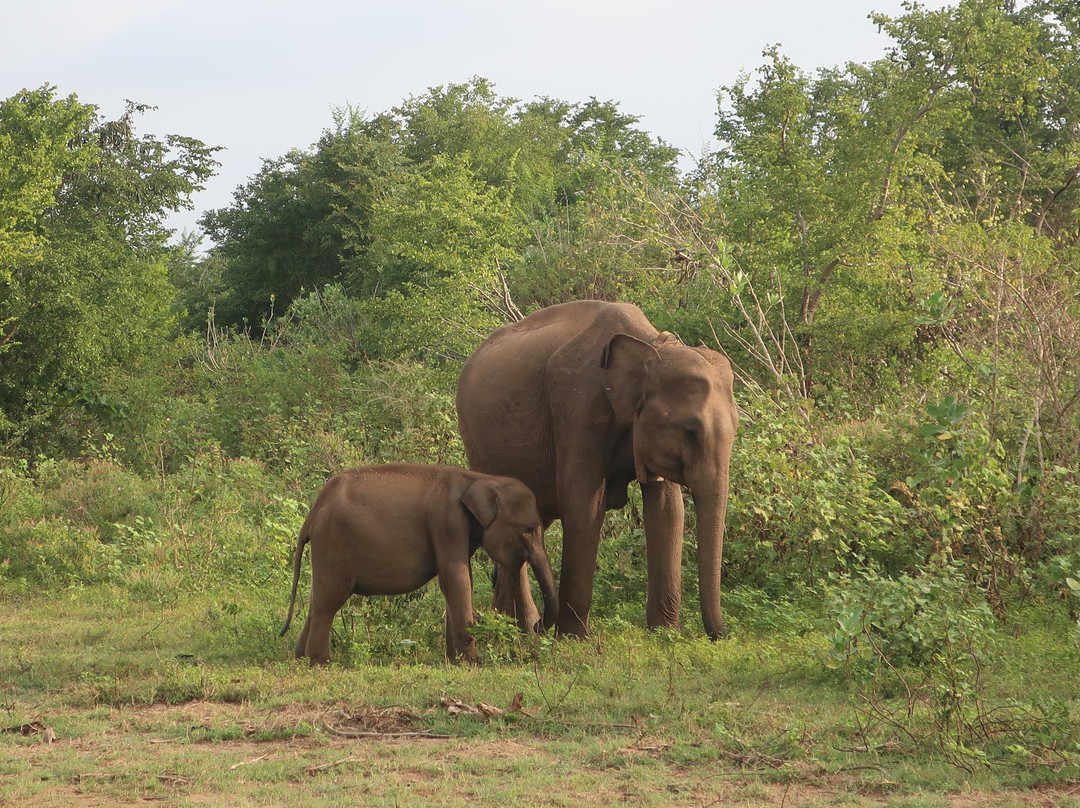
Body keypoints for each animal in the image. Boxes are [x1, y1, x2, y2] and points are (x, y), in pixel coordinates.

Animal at [278, 464, 557, 665]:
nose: (537, 626)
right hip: (333, 542)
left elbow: (457, 579)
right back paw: (322, 662)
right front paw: (474, 661)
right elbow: (456, 578)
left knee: (317, 598)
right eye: (529, 529)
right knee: (330, 599)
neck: (479, 478)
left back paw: (301, 657)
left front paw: (455, 660)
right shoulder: (446, 520)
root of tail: (314, 510)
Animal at [455, 300, 743, 639]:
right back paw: (524, 627)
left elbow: (667, 510)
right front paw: (574, 639)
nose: (722, 636)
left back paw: (512, 625)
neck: (652, 344)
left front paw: (665, 635)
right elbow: (584, 507)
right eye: (689, 431)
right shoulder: (577, 409)